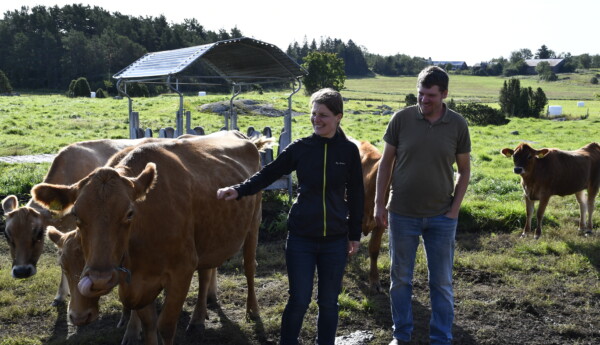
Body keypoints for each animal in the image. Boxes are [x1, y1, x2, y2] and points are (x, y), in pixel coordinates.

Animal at [31, 133, 264, 342]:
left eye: (130, 213)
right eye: (76, 214)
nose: (79, 316)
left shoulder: (182, 270)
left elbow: (165, 327)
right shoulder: (140, 285)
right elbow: (150, 326)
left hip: (253, 223)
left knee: (249, 266)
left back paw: (252, 310)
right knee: (206, 273)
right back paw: (198, 319)